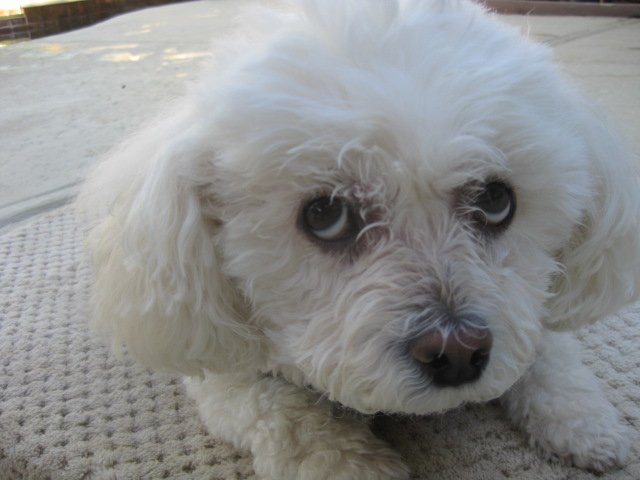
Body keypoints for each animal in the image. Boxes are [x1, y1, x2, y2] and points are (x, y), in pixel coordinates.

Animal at [80, 1, 640, 478]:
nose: (458, 353)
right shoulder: (226, 376)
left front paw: (586, 424)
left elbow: (552, 353)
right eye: (325, 214)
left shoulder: (530, 306)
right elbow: (290, 419)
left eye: (496, 200)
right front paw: (352, 463)